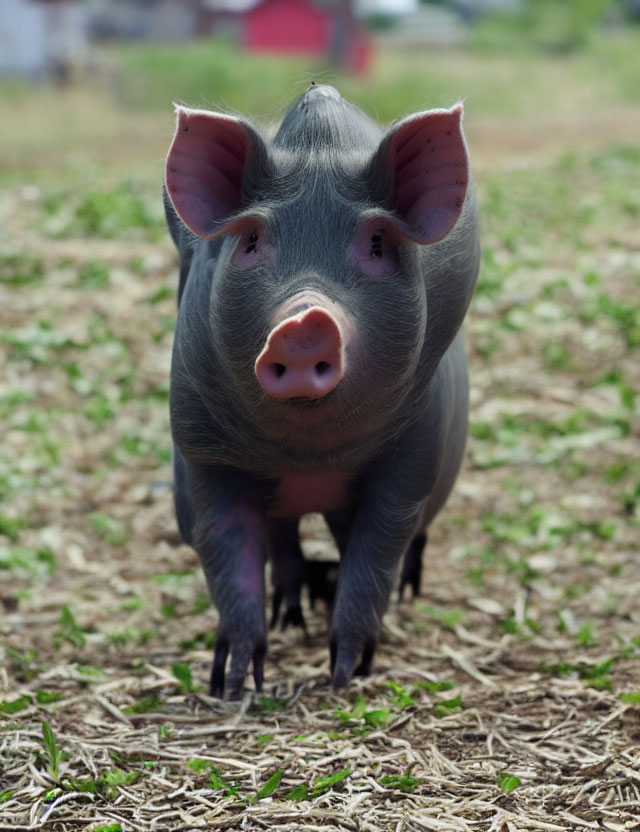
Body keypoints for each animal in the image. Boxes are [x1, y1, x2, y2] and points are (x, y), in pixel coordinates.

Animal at [165, 84, 480, 700]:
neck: (307, 459)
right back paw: (291, 618)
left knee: (399, 550)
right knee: (284, 541)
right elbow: (227, 554)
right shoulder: (203, 453)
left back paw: (402, 597)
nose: (305, 321)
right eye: (252, 240)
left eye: (377, 243)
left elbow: (375, 553)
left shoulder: (413, 459)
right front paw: (232, 685)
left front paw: (345, 675)